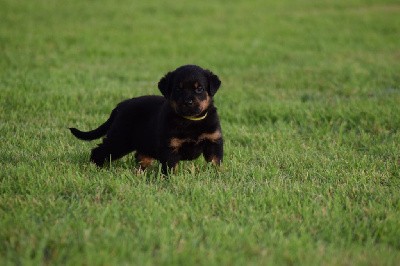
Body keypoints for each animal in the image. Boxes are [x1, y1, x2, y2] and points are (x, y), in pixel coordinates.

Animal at [70, 65, 223, 175]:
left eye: (199, 89)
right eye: (178, 89)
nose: (188, 102)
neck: (191, 121)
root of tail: (121, 105)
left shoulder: (213, 141)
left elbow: (215, 162)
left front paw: (218, 176)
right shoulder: (169, 147)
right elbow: (171, 168)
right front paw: (172, 181)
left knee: (140, 156)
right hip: (119, 139)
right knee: (99, 150)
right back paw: (94, 167)